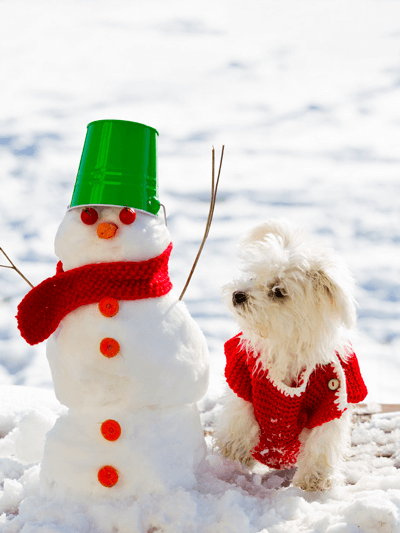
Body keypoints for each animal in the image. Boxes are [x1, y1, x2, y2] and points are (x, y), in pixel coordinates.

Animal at [214, 219, 368, 490]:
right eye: (253, 275)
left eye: (278, 291)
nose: (238, 295)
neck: (286, 342)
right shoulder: (243, 378)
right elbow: (239, 421)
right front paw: (232, 457)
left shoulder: (332, 397)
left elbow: (321, 443)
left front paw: (313, 481)